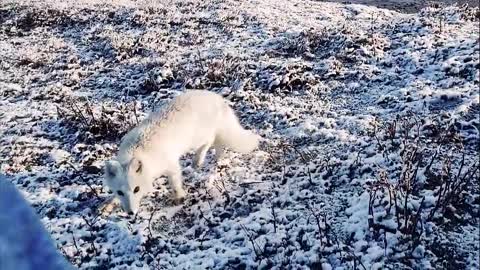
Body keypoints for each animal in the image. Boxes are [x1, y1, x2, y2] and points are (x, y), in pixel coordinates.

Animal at [103, 89, 260, 214]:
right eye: (120, 192)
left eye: (136, 189)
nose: (131, 213)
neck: (139, 151)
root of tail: (217, 98)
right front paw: (108, 204)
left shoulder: (171, 164)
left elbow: (175, 182)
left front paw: (179, 196)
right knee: (217, 142)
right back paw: (217, 157)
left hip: (199, 137)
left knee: (209, 141)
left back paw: (198, 160)